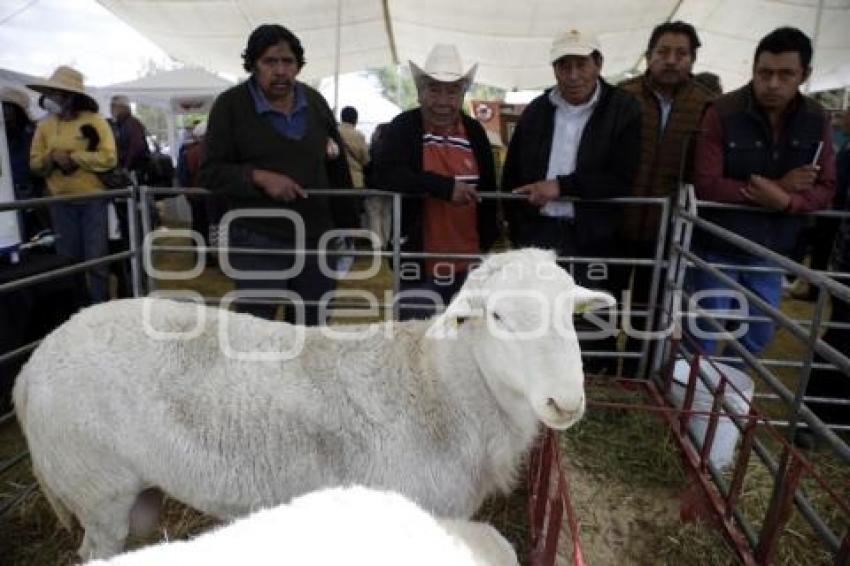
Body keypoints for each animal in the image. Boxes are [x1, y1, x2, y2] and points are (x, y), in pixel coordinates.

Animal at [11, 248, 608, 560]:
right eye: (499, 316)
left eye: (571, 314)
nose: (565, 401)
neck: (440, 389)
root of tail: (32, 363)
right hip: (97, 487)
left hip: (136, 497)